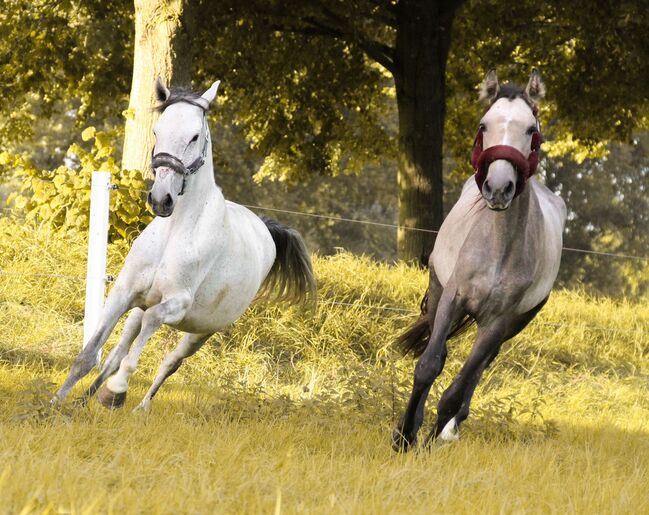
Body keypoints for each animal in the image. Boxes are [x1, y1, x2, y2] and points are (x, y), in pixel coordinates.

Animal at [57, 79, 316, 412]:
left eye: (194, 136)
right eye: (157, 131)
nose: (161, 199)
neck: (175, 233)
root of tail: (265, 229)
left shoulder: (177, 304)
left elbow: (144, 341)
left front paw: (116, 391)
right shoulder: (124, 292)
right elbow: (89, 355)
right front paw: (55, 404)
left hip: (201, 332)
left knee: (169, 362)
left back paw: (137, 407)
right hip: (140, 309)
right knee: (119, 350)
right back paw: (84, 400)